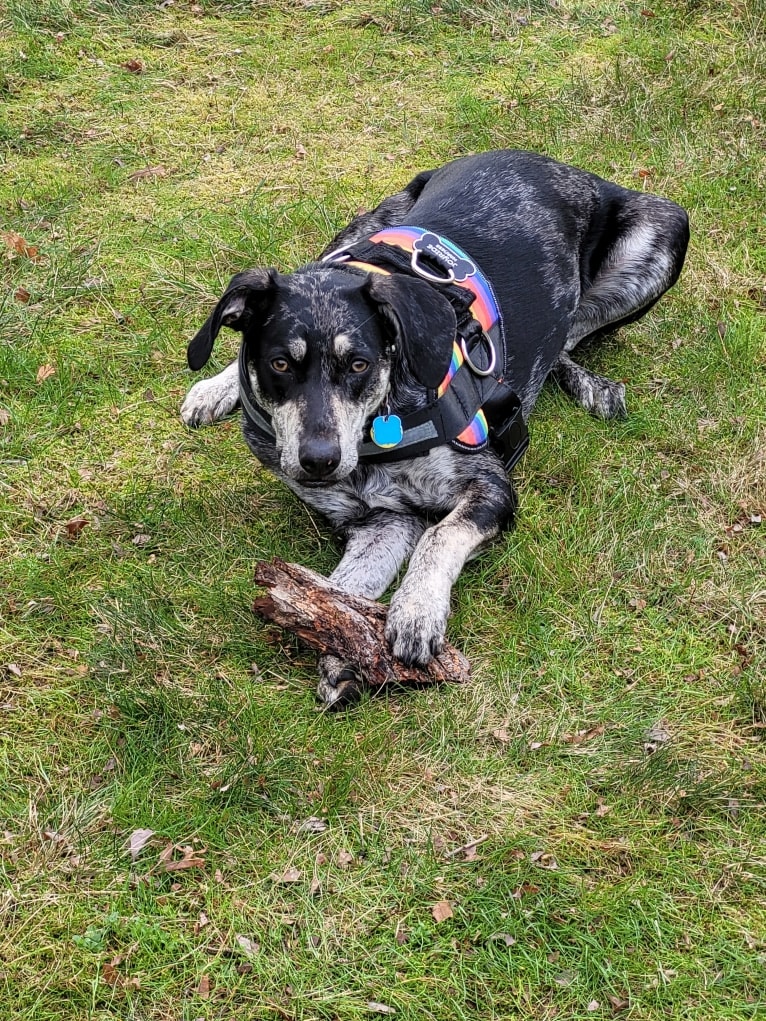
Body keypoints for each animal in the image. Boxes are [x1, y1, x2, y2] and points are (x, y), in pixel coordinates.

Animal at [182, 151, 694, 706]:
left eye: (359, 364)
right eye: (279, 364)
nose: (318, 461)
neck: (374, 436)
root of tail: (544, 160)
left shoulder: (490, 488)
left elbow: (440, 535)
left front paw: (414, 612)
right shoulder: (380, 521)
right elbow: (341, 586)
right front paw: (344, 641)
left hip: (663, 232)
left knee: (570, 336)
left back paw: (592, 386)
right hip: (364, 227)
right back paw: (214, 388)